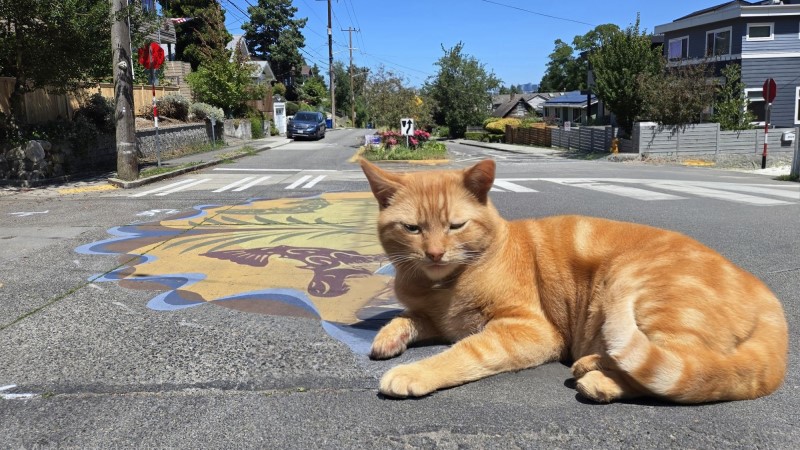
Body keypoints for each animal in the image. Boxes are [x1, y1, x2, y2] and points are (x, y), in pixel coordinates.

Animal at [360, 159, 788, 404]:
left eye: (455, 226)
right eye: (413, 229)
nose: (434, 254)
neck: (441, 287)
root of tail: (767, 296)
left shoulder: (529, 330)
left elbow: (464, 352)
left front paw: (413, 373)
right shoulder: (435, 318)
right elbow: (404, 316)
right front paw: (388, 336)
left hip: (645, 296)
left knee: (689, 369)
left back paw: (599, 379)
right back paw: (592, 364)